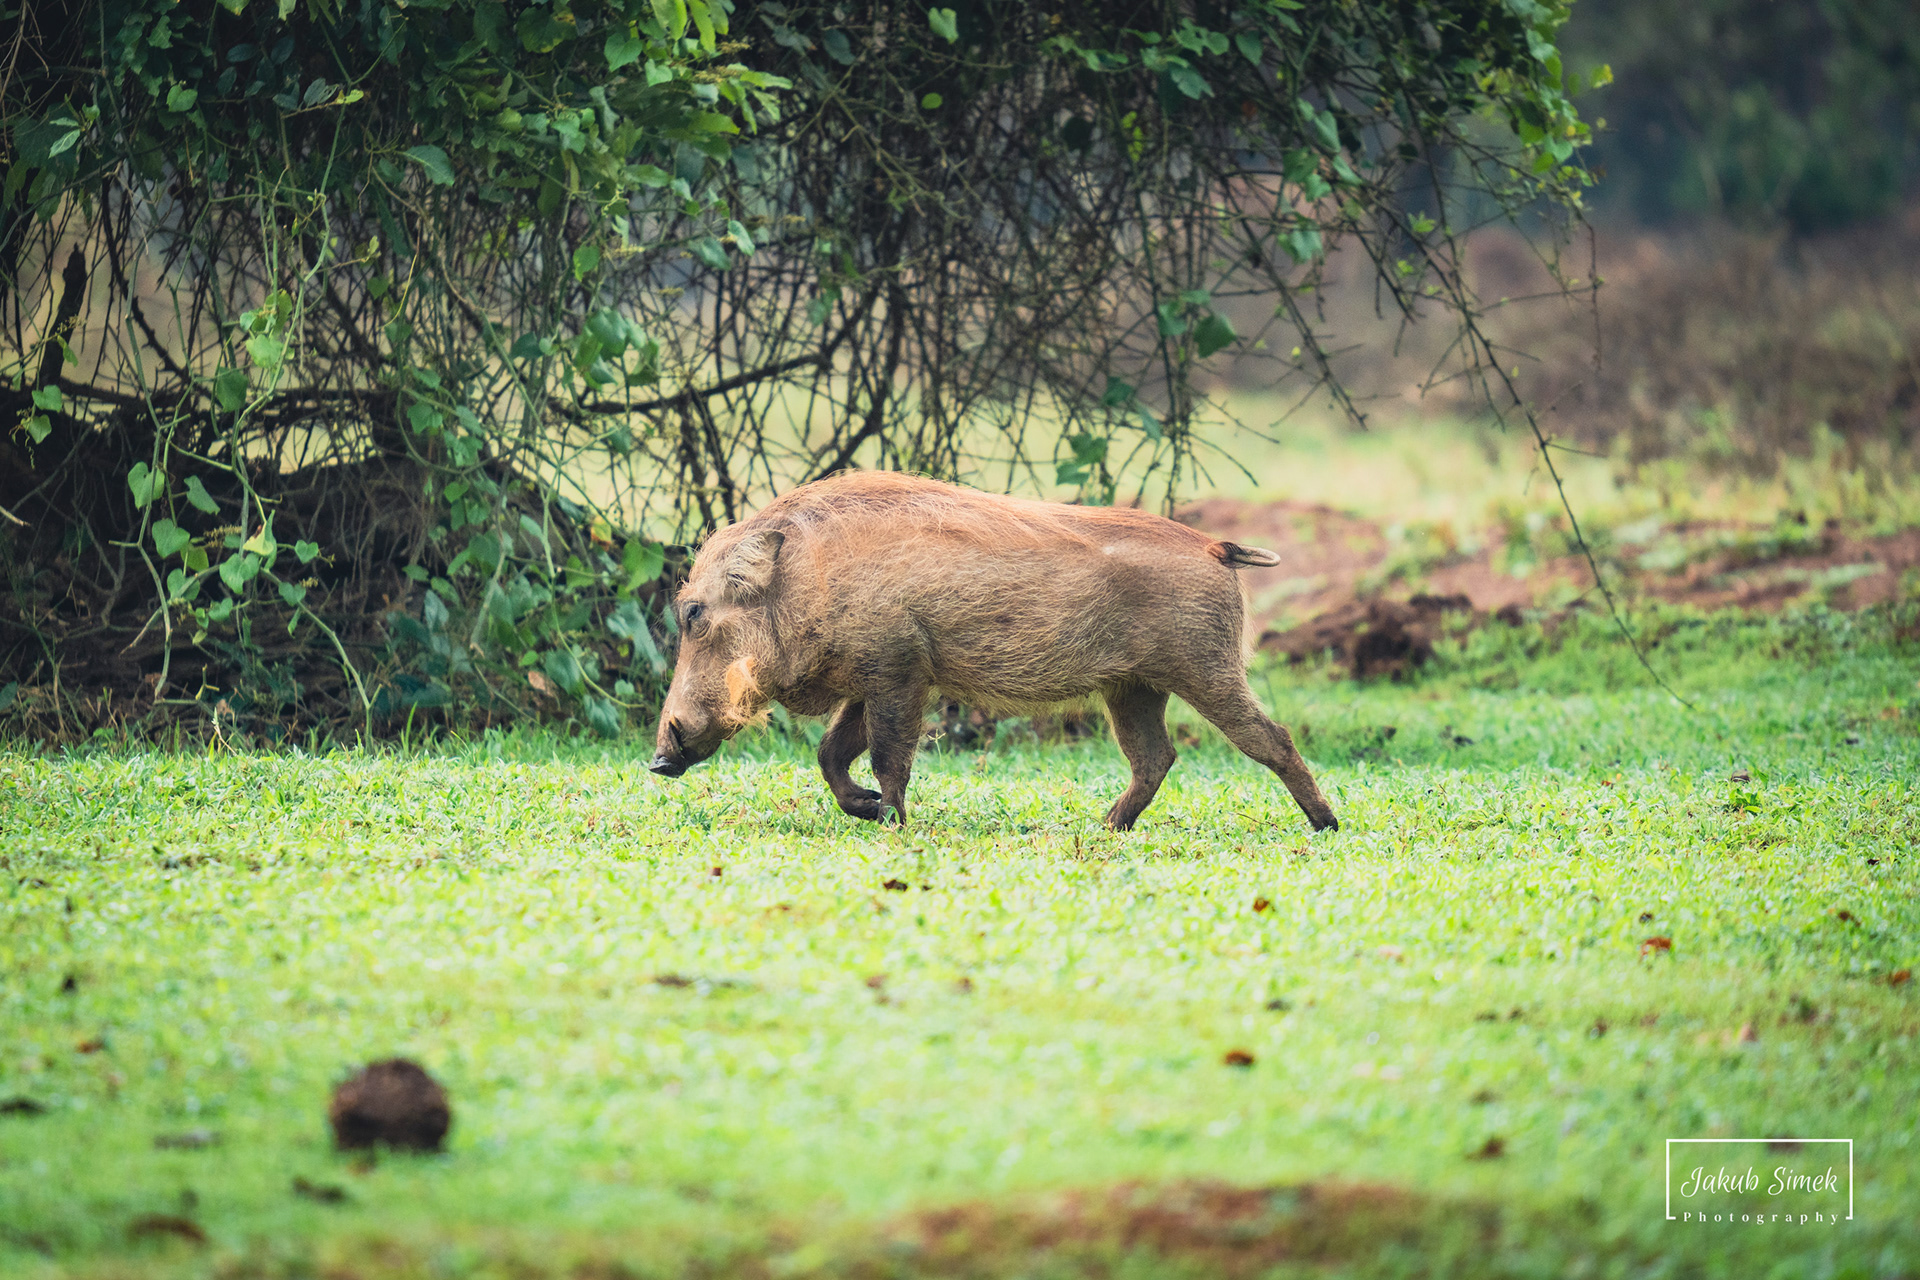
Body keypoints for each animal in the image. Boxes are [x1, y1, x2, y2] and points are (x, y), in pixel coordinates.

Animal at [648, 471, 1338, 832]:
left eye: (693, 613)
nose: (658, 760)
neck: (806, 582)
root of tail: (1216, 547)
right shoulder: (872, 678)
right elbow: (831, 755)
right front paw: (866, 811)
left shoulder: (898, 673)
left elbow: (887, 757)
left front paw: (892, 823)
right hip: (1134, 689)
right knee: (1155, 758)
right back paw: (1104, 828)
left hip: (1207, 670)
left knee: (1271, 740)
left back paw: (1325, 824)